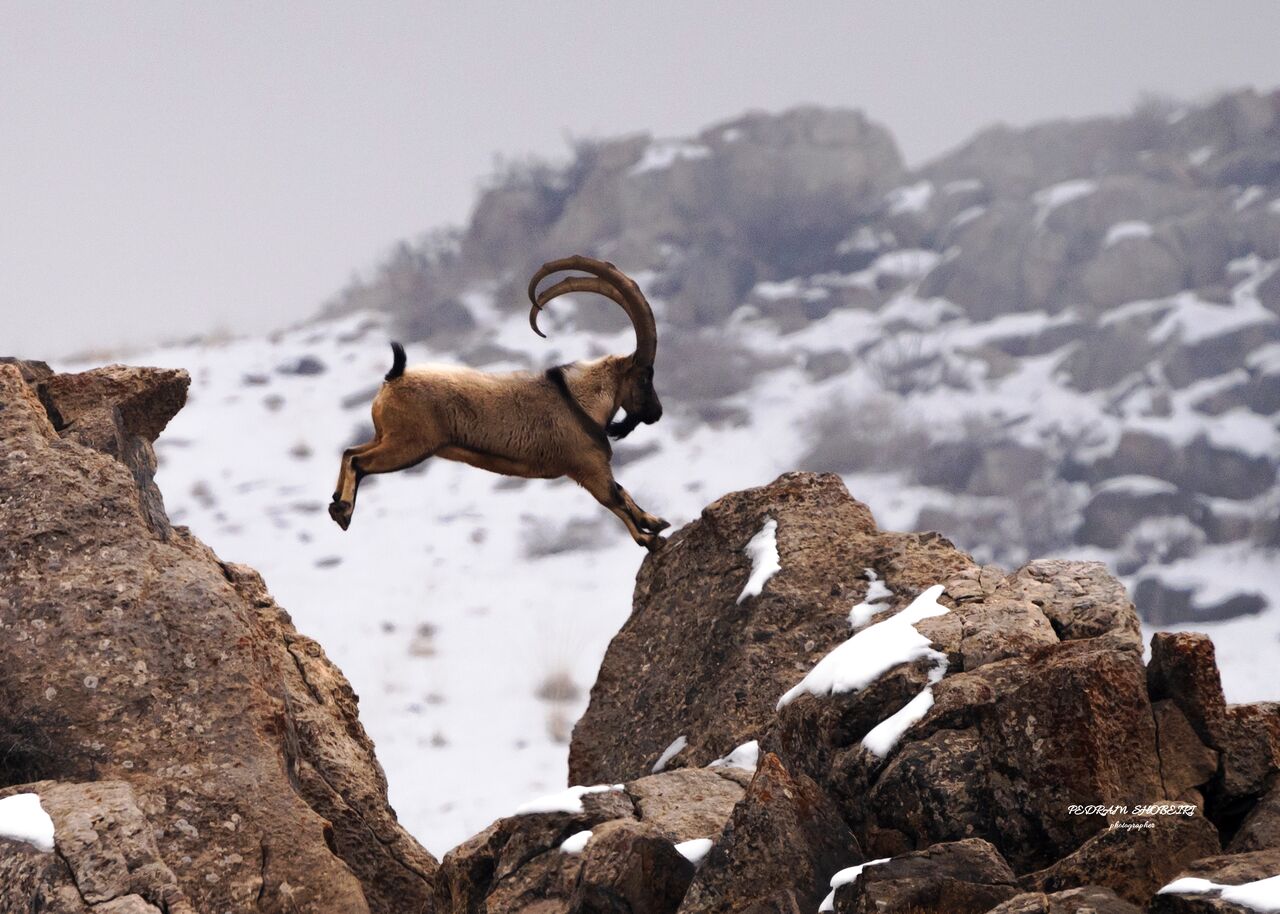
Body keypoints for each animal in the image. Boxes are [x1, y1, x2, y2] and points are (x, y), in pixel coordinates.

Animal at [327, 252, 670, 545]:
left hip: (388, 436)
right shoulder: (586, 466)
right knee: (359, 461)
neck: (580, 401)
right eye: (645, 377)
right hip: (410, 443)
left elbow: (623, 494)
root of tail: (394, 378)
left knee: (349, 451)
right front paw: (648, 538)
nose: (657, 412)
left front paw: (657, 522)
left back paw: (336, 506)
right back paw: (343, 511)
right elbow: (614, 498)